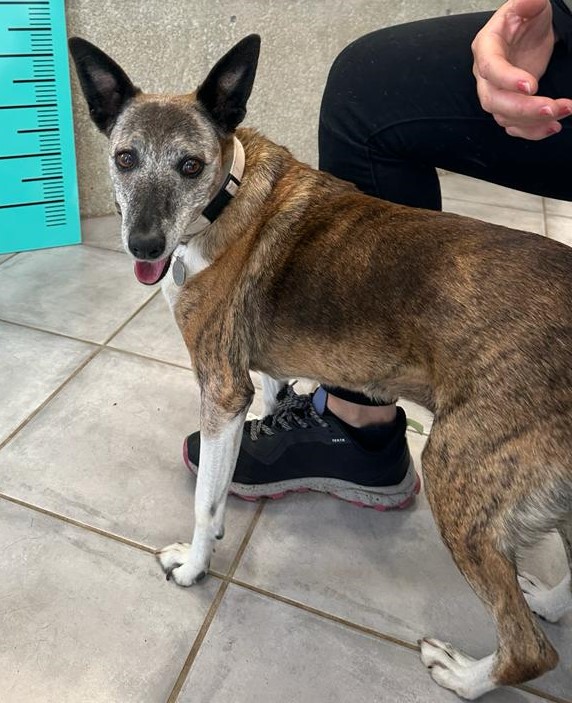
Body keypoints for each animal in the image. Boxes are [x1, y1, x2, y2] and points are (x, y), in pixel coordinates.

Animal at [69, 34, 572, 700]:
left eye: (190, 167)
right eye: (125, 158)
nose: (143, 246)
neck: (226, 196)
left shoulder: (220, 391)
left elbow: (206, 500)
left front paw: (196, 565)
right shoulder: (249, 378)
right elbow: (266, 400)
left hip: (462, 472)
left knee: (529, 651)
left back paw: (464, 674)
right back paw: (551, 602)